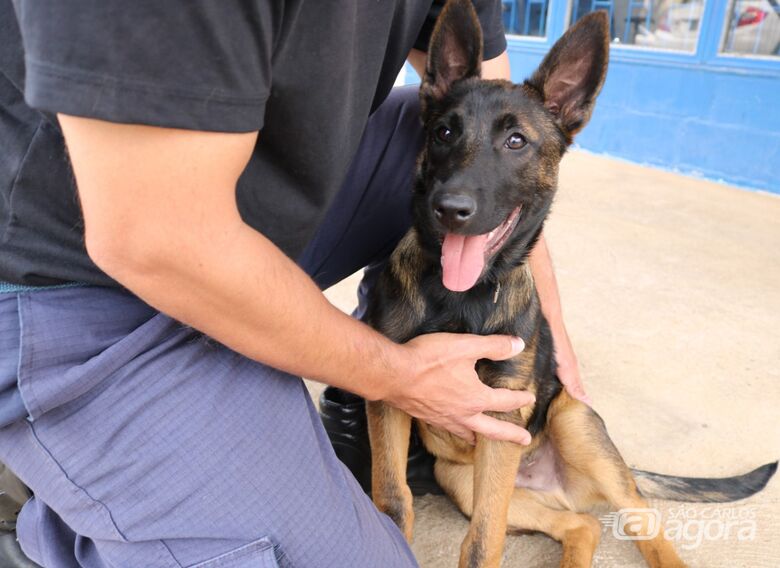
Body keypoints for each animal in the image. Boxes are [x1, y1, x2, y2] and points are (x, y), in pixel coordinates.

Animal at [368, 2, 780, 564]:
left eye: (516, 141)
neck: (459, 298)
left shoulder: (500, 421)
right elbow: (393, 499)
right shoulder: (392, 394)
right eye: (443, 133)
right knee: (581, 525)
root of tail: (550, 479)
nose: (449, 209)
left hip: (574, 425)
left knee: (642, 522)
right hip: (461, 480)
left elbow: (482, 543)